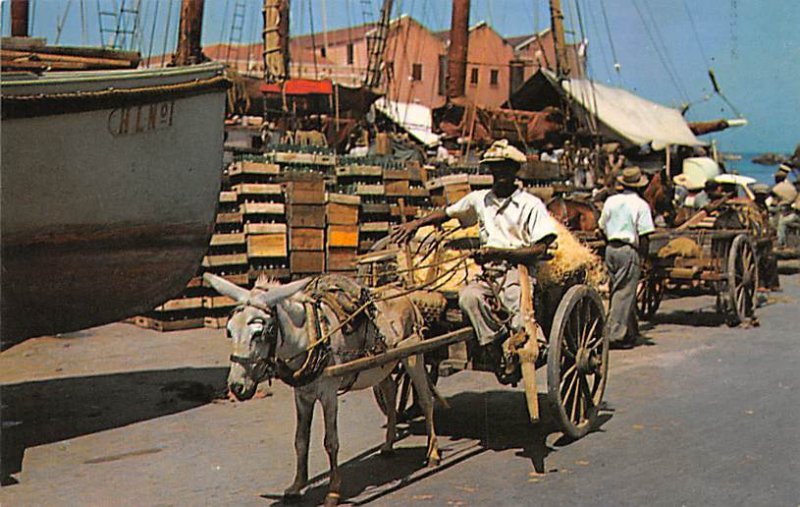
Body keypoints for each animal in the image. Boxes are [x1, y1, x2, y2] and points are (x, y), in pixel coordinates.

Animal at [200, 274, 438, 507]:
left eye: (259, 333)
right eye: (229, 331)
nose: (236, 387)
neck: (311, 336)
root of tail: (404, 294)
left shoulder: (328, 394)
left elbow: (331, 442)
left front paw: (333, 492)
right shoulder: (302, 395)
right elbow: (300, 440)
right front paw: (297, 486)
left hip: (413, 355)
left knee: (426, 400)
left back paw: (433, 452)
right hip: (381, 366)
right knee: (390, 392)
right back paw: (388, 445)